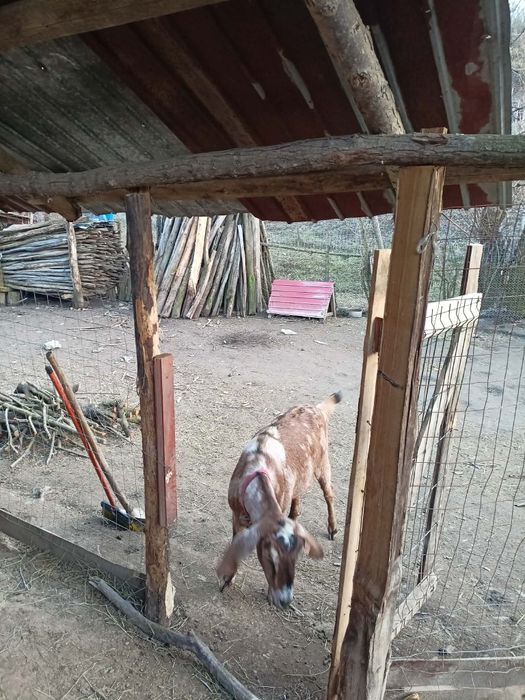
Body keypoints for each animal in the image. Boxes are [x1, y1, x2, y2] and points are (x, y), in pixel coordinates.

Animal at [216, 391, 342, 608]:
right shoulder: (236, 514)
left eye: (296, 560)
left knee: (329, 492)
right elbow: (236, 542)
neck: (258, 465)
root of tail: (317, 408)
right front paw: (227, 579)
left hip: (323, 461)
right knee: (298, 499)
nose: (285, 600)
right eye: (271, 558)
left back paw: (333, 528)